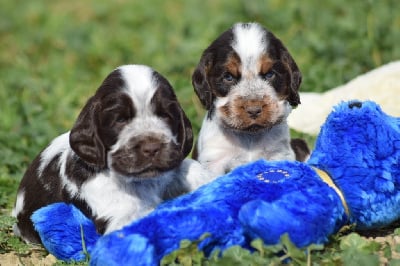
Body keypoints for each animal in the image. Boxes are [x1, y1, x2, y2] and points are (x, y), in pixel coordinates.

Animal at [191, 22, 310, 177]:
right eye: (228, 77)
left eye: (270, 74)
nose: (254, 110)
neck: (250, 136)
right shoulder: (213, 161)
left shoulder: (279, 153)